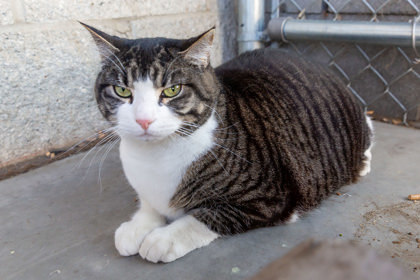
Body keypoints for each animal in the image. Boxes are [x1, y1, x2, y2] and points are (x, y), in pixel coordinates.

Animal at [80, 22, 372, 262]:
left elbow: (207, 215)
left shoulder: (267, 197)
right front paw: (137, 226)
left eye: (172, 90)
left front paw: (164, 238)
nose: (143, 120)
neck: (155, 157)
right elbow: (149, 204)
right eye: (122, 90)